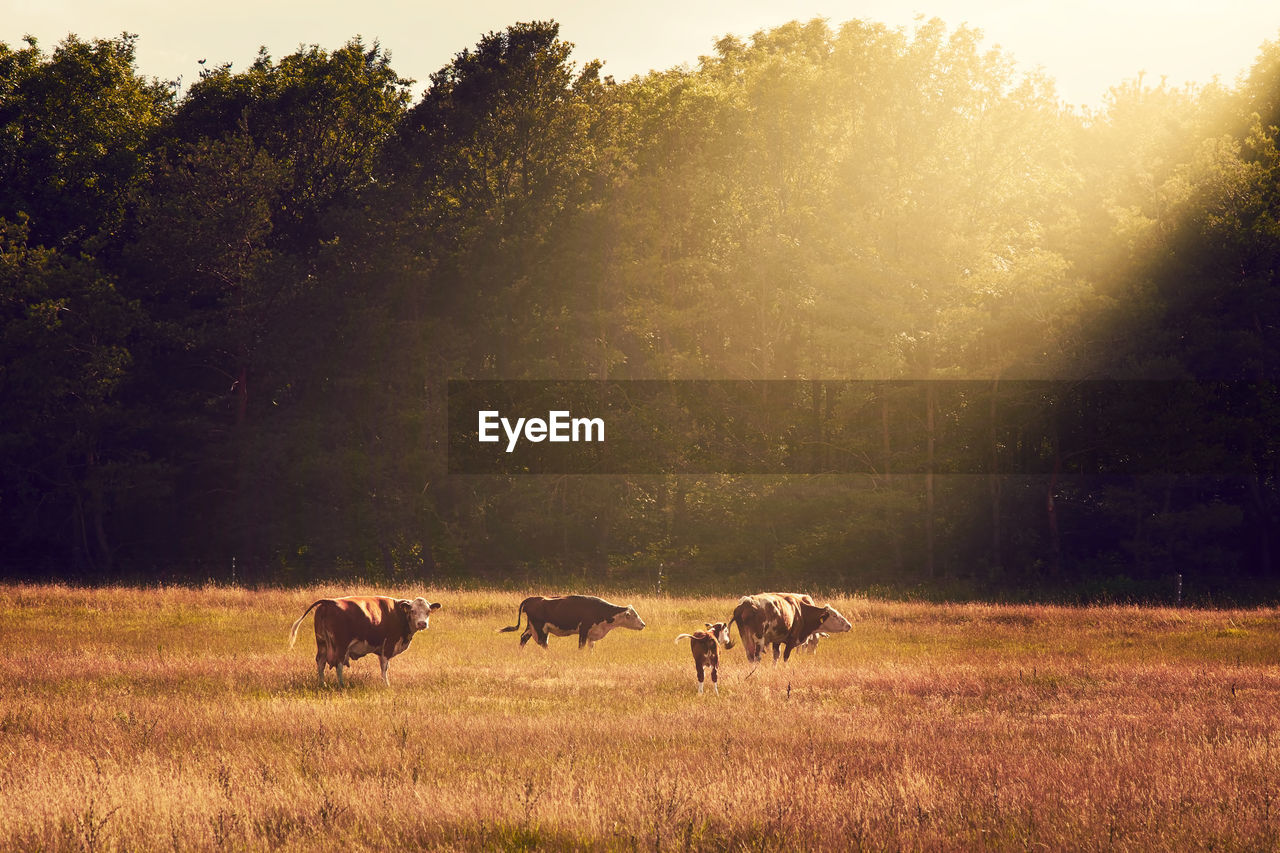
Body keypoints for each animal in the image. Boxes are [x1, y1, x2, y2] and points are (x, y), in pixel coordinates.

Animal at [289, 594, 440, 686]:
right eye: (413, 611)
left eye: (428, 611)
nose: (422, 623)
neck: (399, 614)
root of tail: (329, 601)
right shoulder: (388, 645)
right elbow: (385, 666)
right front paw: (386, 684)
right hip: (341, 644)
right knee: (338, 664)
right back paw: (341, 684)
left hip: (322, 643)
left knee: (320, 662)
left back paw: (323, 684)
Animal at [494, 594, 645, 648]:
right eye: (634, 615)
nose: (643, 624)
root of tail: (531, 599)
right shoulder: (583, 630)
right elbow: (581, 646)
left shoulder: (592, 634)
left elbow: (590, 647)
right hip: (540, 628)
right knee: (543, 643)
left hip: (531, 627)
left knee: (523, 638)